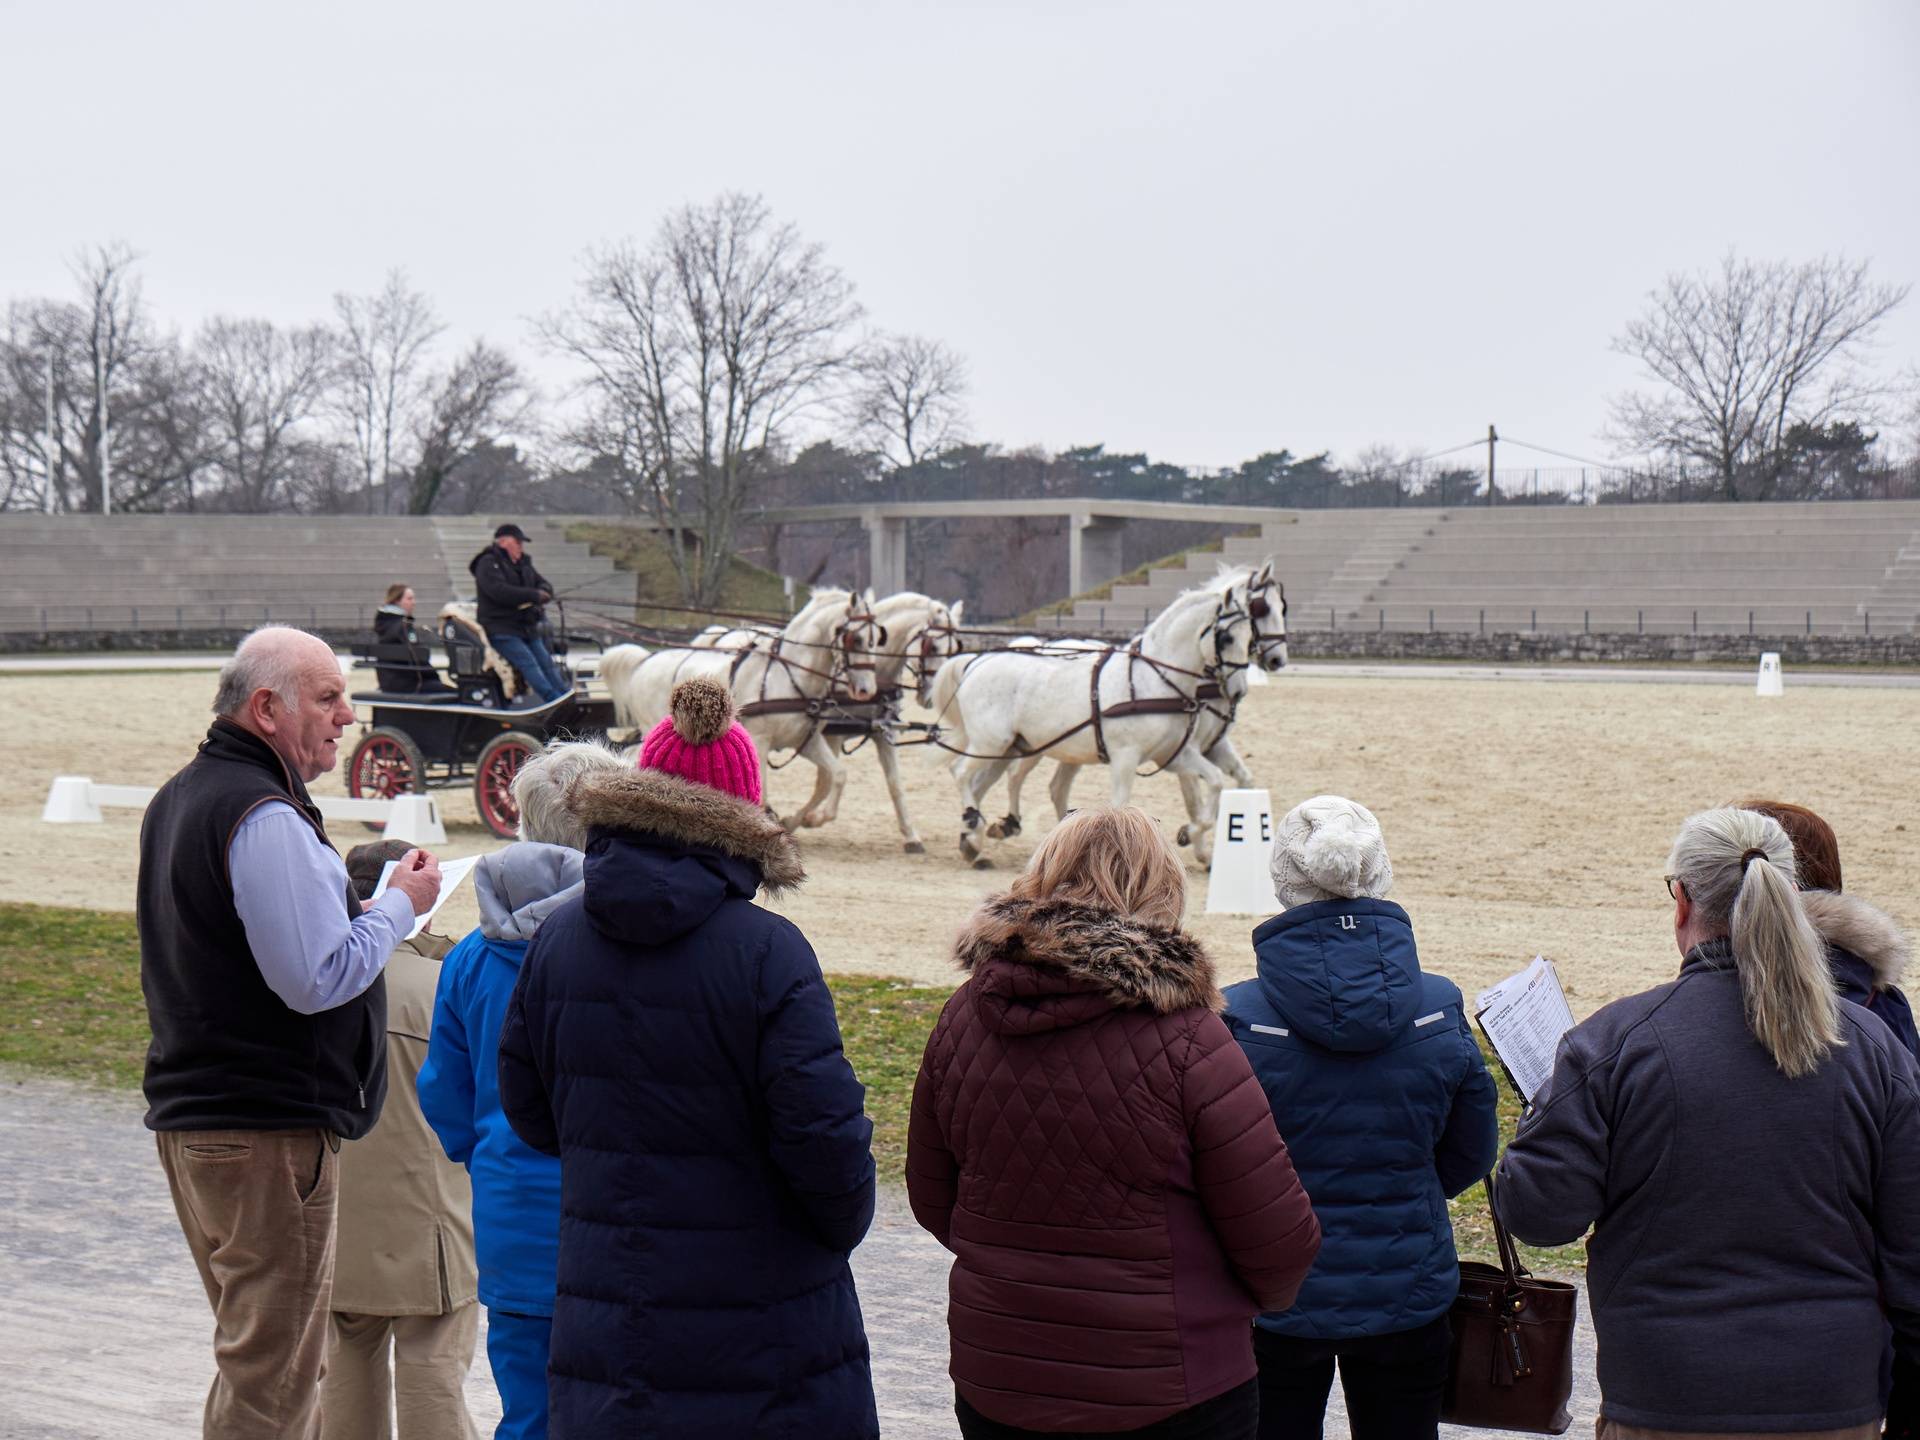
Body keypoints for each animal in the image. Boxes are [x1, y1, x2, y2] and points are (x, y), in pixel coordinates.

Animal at [598, 588, 886, 829]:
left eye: (876, 639)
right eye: (856, 638)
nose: (866, 689)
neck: (788, 676)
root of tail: (645, 660)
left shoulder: (807, 741)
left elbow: (837, 775)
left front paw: (806, 819)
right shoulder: (760, 740)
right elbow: (764, 794)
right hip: (653, 728)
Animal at [927, 562, 1286, 867]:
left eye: (1250, 634)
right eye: (1227, 636)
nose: (1238, 689)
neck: (1154, 678)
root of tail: (979, 661)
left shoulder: (1174, 754)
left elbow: (1214, 783)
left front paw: (1191, 834)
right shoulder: (1127, 758)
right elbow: (1126, 806)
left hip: (1019, 746)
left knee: (1002, 783)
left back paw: (979, 838)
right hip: (993, 742)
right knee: (962, 773)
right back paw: (974, 826)